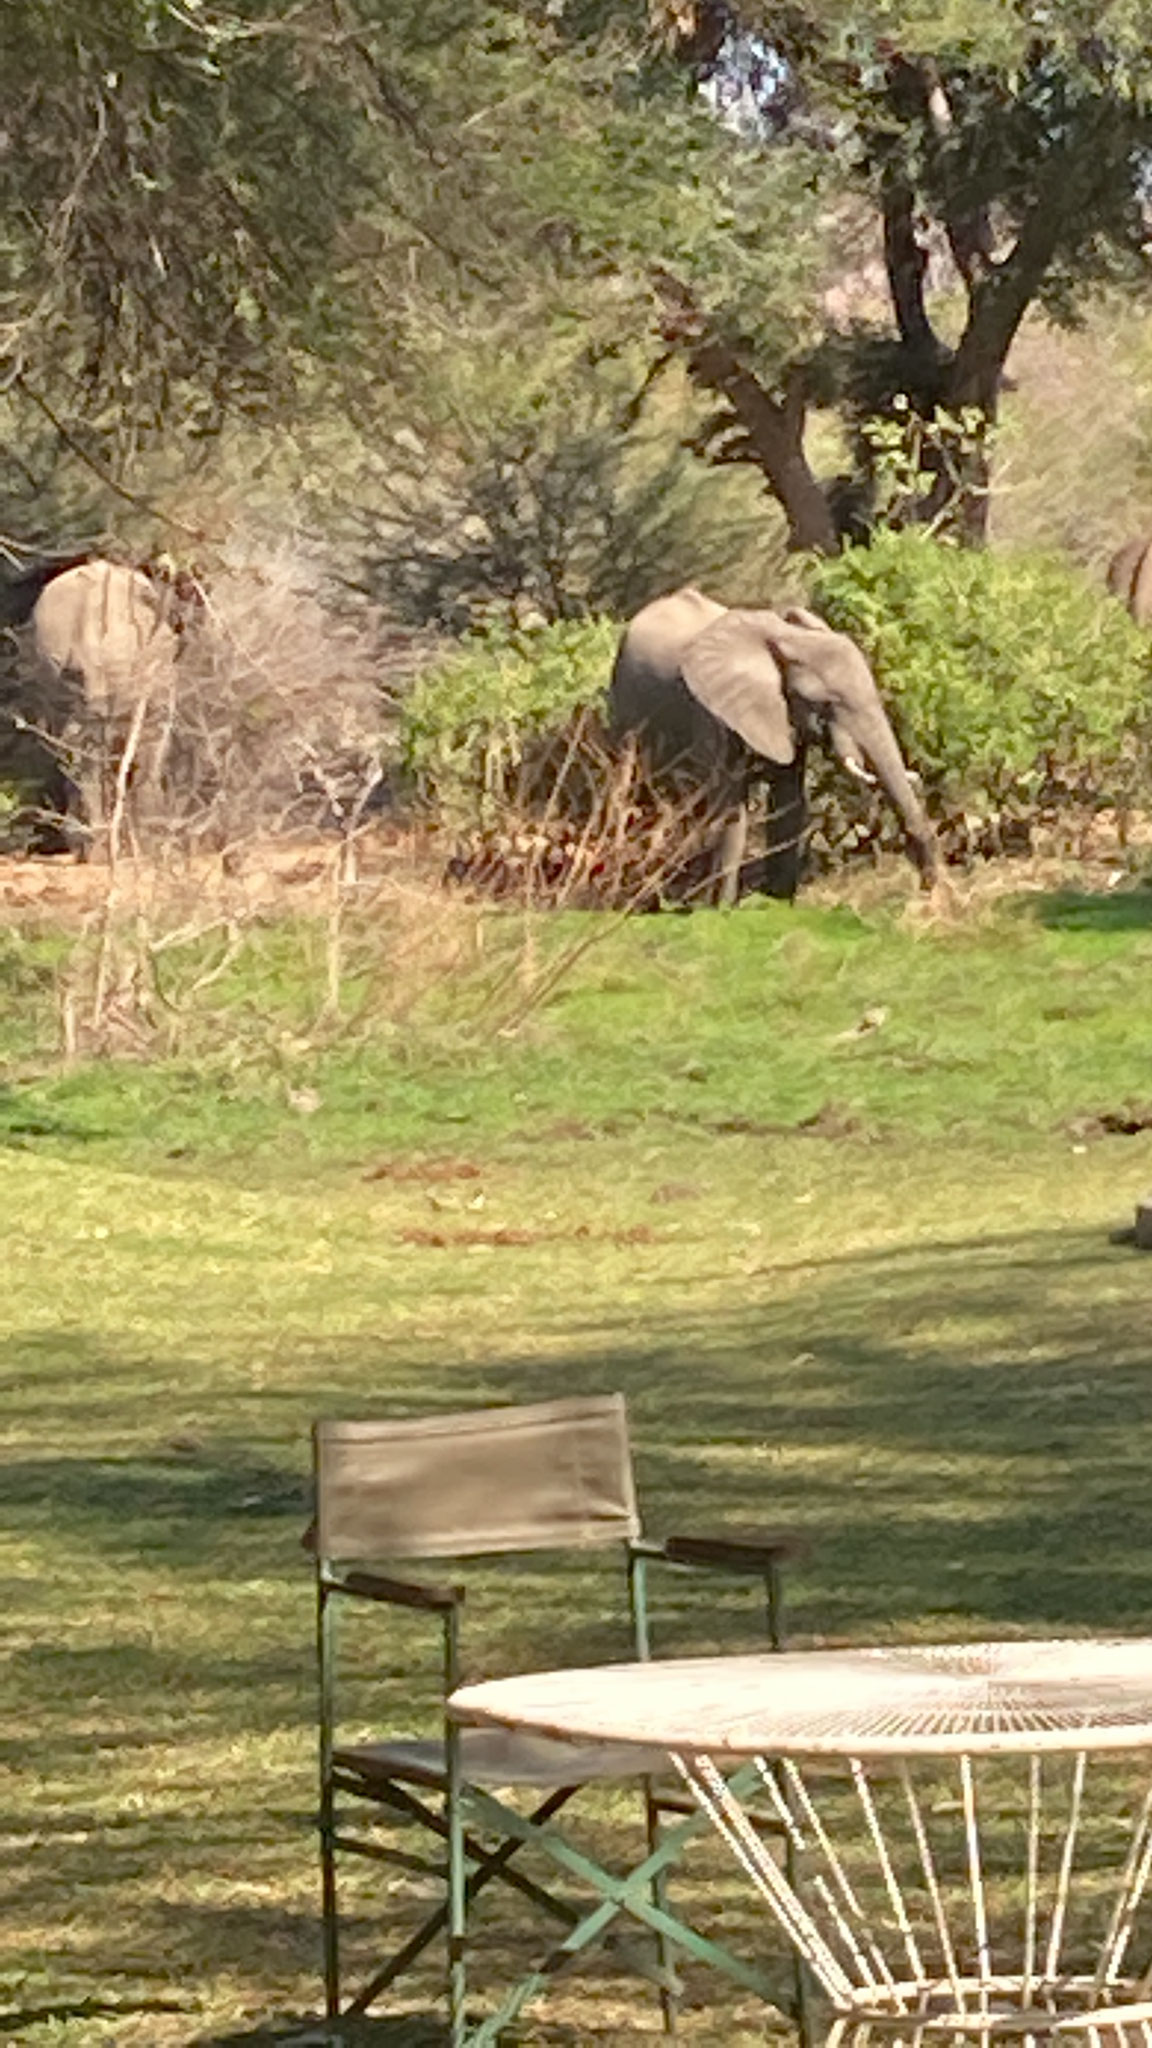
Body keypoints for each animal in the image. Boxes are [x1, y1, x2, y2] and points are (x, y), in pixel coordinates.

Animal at [606, 585, 938, 897]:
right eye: (823, 703)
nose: (927, 883)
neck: (788, 638)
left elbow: (789, 802)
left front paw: (776, 904)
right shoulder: (711, 711)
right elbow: (729, 809)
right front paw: (720, 910)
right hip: (623, 697)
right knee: (631, 782)